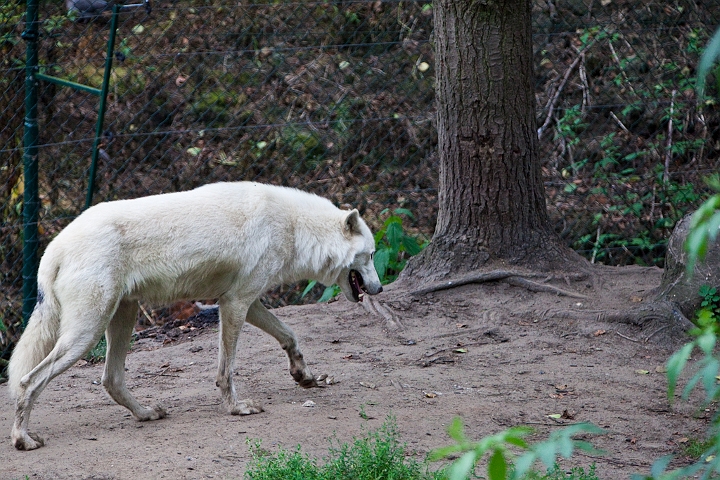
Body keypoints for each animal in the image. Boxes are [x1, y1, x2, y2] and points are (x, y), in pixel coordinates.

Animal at [8, 181, 383, 450]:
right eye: (371, 254)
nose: (379, 289)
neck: (294, 227)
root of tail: (54, 248)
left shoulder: (246, 301)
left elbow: (289, 335)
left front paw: (304, 376)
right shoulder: (235, 303)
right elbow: (226, 370)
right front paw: (236, 408)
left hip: (120, 319)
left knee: (110, 380)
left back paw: (147, 414)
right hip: (86, 334)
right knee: (28, 381)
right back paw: (23, 440)